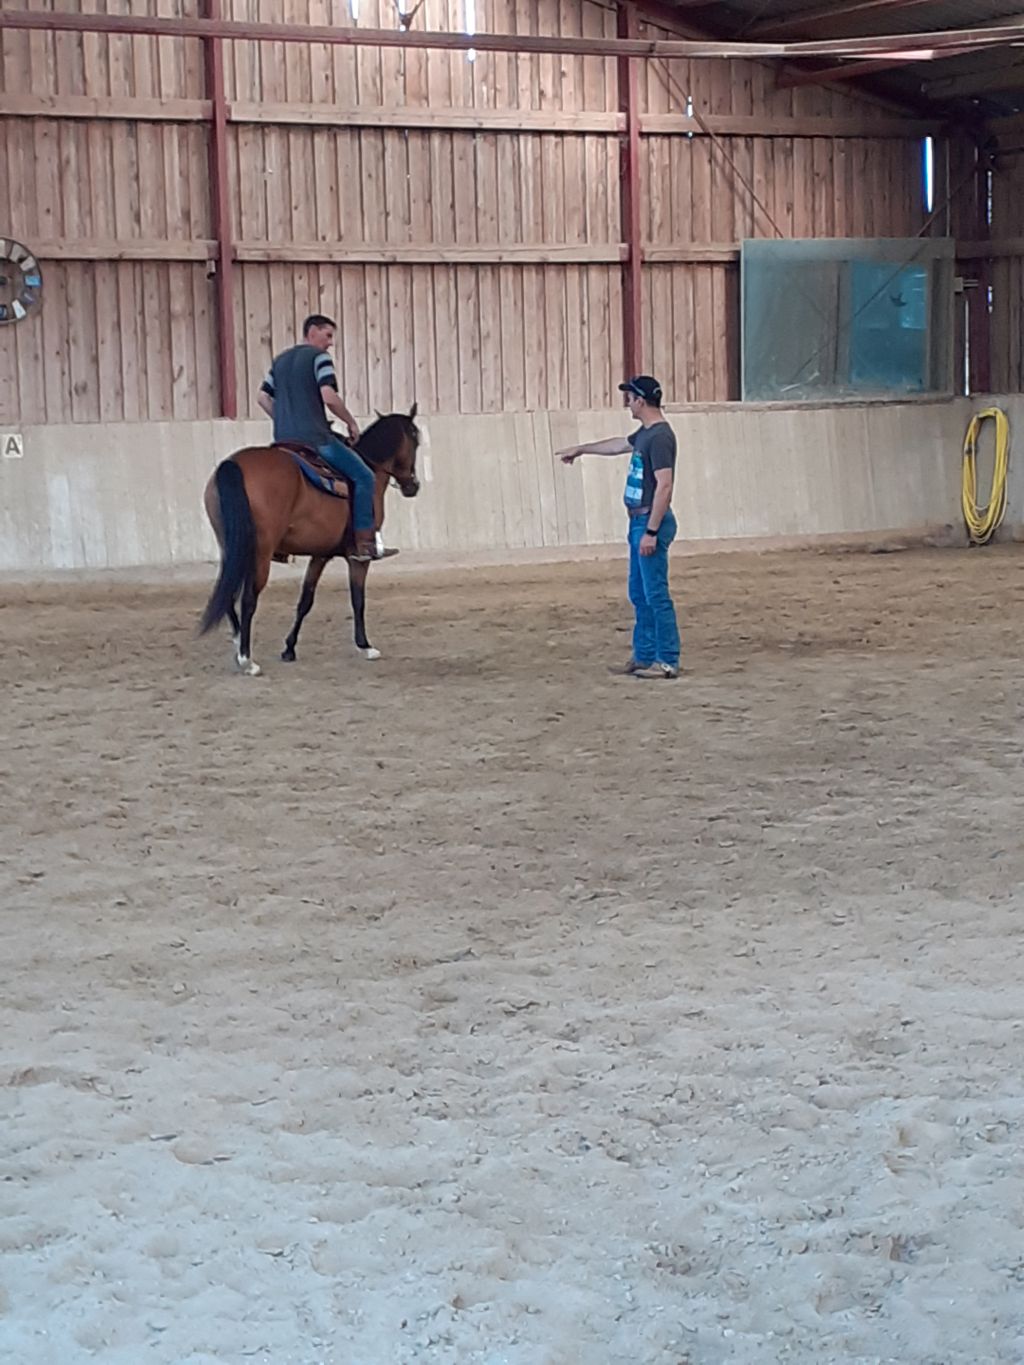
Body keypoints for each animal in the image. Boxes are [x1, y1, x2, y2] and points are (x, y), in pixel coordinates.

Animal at [199, 407, 421, 675]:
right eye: (416, 441)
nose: (413, 486)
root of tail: (233, 464)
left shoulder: (321, 553)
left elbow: (306, 599)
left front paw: (289, 648)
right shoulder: (359, 556)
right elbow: (358, 599)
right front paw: (365, 646)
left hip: (232, 546)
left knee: (227, 591)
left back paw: (237, 639)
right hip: (260, 552)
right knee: (248, 598)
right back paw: (247, 659)